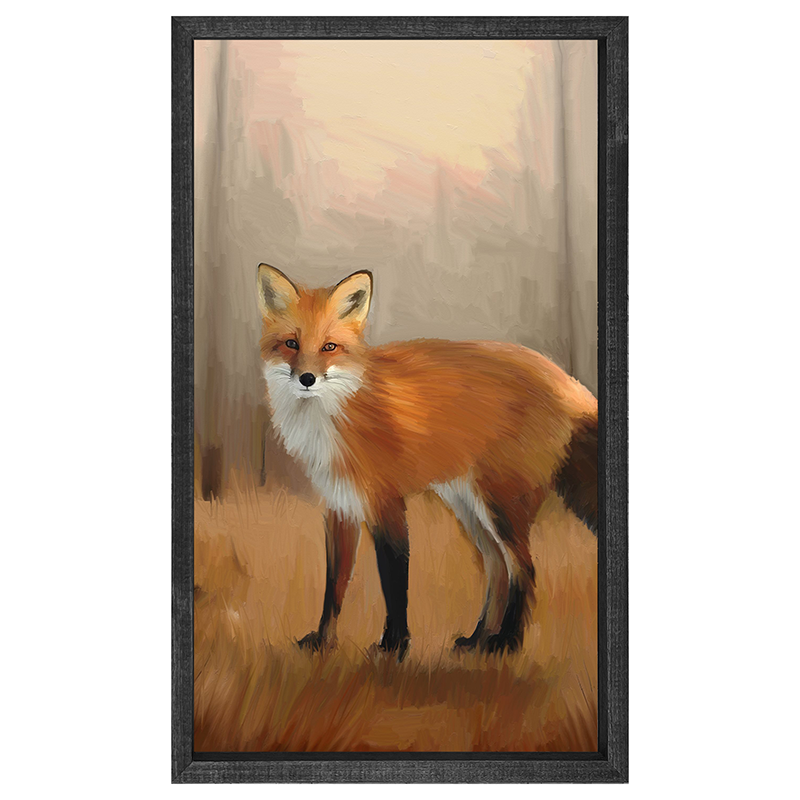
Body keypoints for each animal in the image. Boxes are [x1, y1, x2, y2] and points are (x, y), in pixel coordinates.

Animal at [257, 264, 598, 659]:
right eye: (291, 344)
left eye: (329, 346)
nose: (307, 378)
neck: (335, 414)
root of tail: (568, 382)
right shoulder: (340, 507)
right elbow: (334, 585)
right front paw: (323, 643)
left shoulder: (386, 503)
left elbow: (394, 581)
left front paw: (394, 647)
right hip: (469, 507)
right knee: (497, 568)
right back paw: (477, 640)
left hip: (501, 505)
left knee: (524, 569)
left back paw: (507, 643)